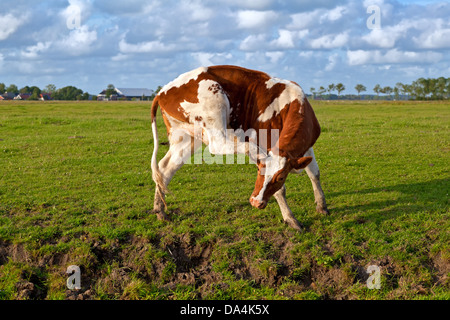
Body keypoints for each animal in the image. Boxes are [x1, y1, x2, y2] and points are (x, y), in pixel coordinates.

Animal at [151, 65, 326, 230]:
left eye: (281, 177)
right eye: (258, 170)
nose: (255, 202)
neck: (290, 103)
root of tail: (162, 92)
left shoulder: (306, 147)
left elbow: (314, 173)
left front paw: (322, 205)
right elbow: (280, 190)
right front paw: (290, 218)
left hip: (186, 138)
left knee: (164, 169)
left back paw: (160, 211)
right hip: (215, 105)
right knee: (219, 145)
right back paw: (253, 150)